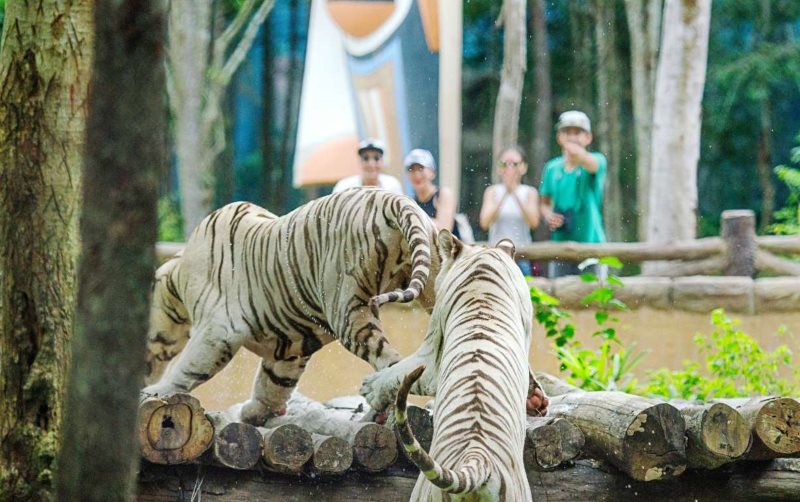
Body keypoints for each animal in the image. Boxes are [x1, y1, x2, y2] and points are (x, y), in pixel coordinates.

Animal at [142, 188, 438, 424]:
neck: (177, 275)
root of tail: (394, 200)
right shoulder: (290, 348)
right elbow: (273, 384)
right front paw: (254, 413)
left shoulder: (218, 330)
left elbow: (188, 367)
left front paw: (157, 391)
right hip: (435, 285)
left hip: (348, 310)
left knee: (391, 361)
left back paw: (374, 411)